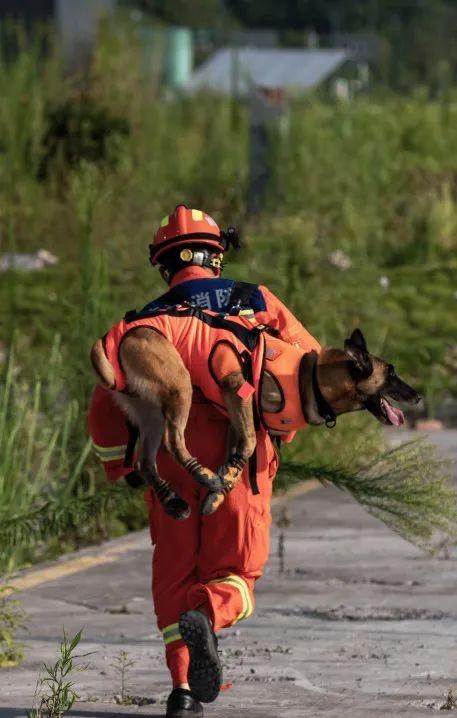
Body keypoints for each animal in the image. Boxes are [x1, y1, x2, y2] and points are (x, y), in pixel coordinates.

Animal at [91, 312, 420, 520]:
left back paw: (173, 501)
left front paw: (221, 491)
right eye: (391, 373)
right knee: (173, 442)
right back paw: (203, 475)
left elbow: (237, 455)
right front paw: (217, 483)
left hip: (151, 414)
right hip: (179, 388)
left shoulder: (235, 418)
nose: (418, 395)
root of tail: (114, 339)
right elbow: (248, 444)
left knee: (145, 462)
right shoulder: (237, 390)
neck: (311, 377)